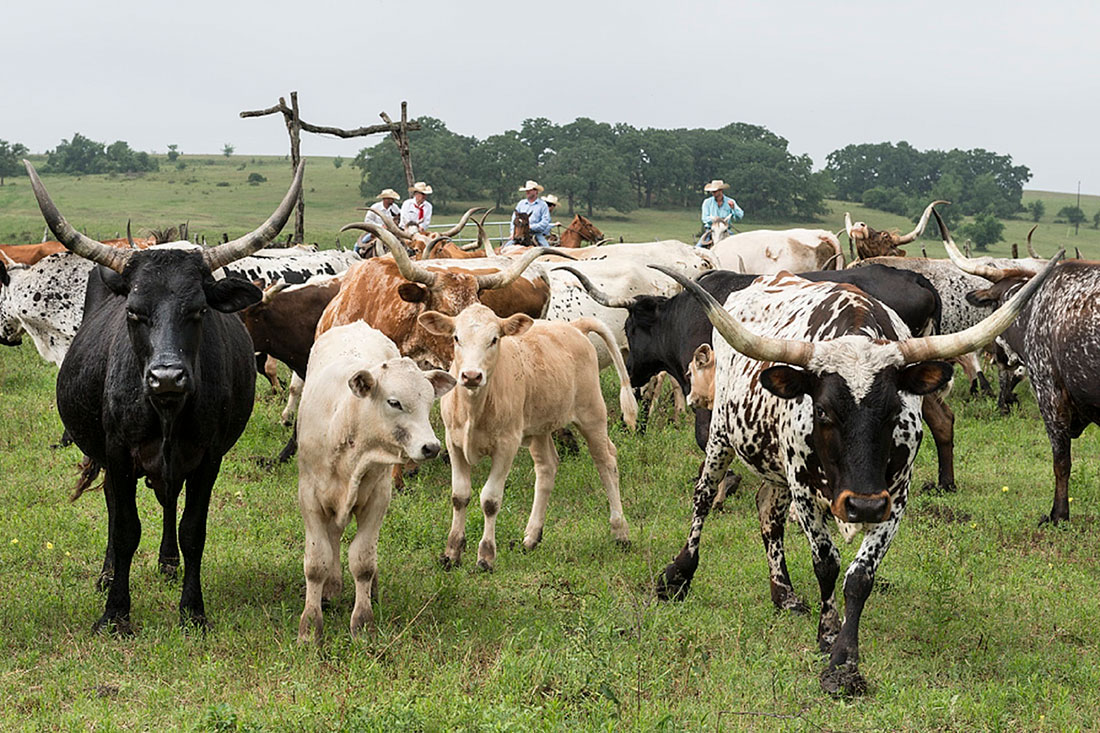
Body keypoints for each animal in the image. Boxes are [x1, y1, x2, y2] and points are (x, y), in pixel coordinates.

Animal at [294, 321, 453, 638]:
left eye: (429, 402)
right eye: (394, 402)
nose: (431, 447)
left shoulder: (377, 500)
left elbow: (363, 561)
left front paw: (363, 621)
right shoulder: (311, 499)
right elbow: (316, 562)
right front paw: (310, 625)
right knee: (333, 537)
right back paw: (331, 587)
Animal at [415, 301, 638, 572]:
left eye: (494, 339)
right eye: (456, 338)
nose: (471, 376)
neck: (475, 408)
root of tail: (574, 327)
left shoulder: (506, 445)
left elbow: (490, 500)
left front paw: (486, 556)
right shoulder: (453, 442)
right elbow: (460, 496)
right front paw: (451, 553)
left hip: (592, 412)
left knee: (606, 462)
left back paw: (620, 531)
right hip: (539, 428)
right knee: (547, 468)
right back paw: (532, 537)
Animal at [651, 258, 1056, 695]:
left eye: (894, 411)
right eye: (824, 411)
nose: (862, 505)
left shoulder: (894, 497)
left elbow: (860, 577)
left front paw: (844, 661)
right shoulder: (804, 491)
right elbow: (826, 563)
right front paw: (827, 633)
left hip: (775, 463)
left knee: (767, 512)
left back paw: (784, 593)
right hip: (722, 434)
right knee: (703, 497)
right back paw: (677, 575)